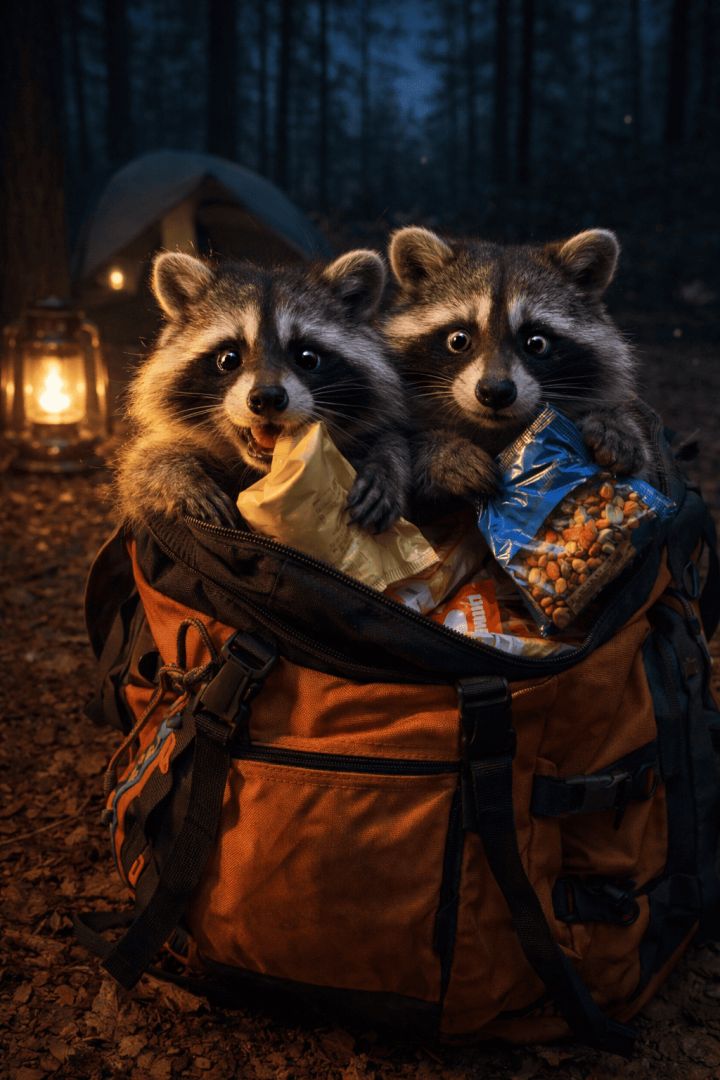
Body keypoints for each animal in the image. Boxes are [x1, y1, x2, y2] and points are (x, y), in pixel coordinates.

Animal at [116, 250, 410, 532]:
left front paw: (386, 458)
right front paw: (174, 472)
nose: (267, 398)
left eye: (307, 358)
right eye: (228, 359)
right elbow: (140, 465)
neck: (265, 472)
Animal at [384, 226, 650, 503]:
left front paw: (614, 421)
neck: (494, 432)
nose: (495, 392)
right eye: (459, 340)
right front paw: (443, 451)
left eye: (536, 343)